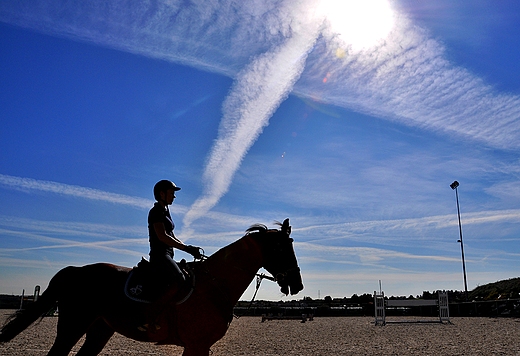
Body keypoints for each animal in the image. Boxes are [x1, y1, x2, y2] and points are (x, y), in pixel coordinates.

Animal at [0, 218, 302, 354]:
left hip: (100, 328)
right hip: (73, 325)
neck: (215, 284)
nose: (297, 284)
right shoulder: (197, 344)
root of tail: (76, 271)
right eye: (282, 247)